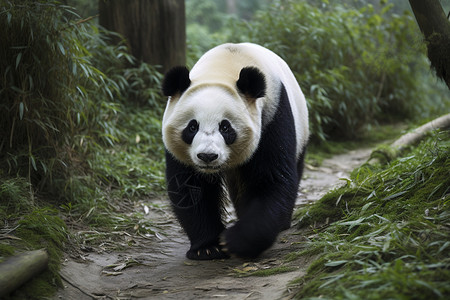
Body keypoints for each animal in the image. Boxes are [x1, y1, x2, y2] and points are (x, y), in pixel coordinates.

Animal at [162, 42, 310, 260]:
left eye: (225, 127)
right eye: (192, 127)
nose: (207, 156)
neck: (223, 67)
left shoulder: (272, 115)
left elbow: (271, 178)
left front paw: (237, 240)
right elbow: (190, 187)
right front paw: (207, 247)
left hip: (301, 129)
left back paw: (281, 223)